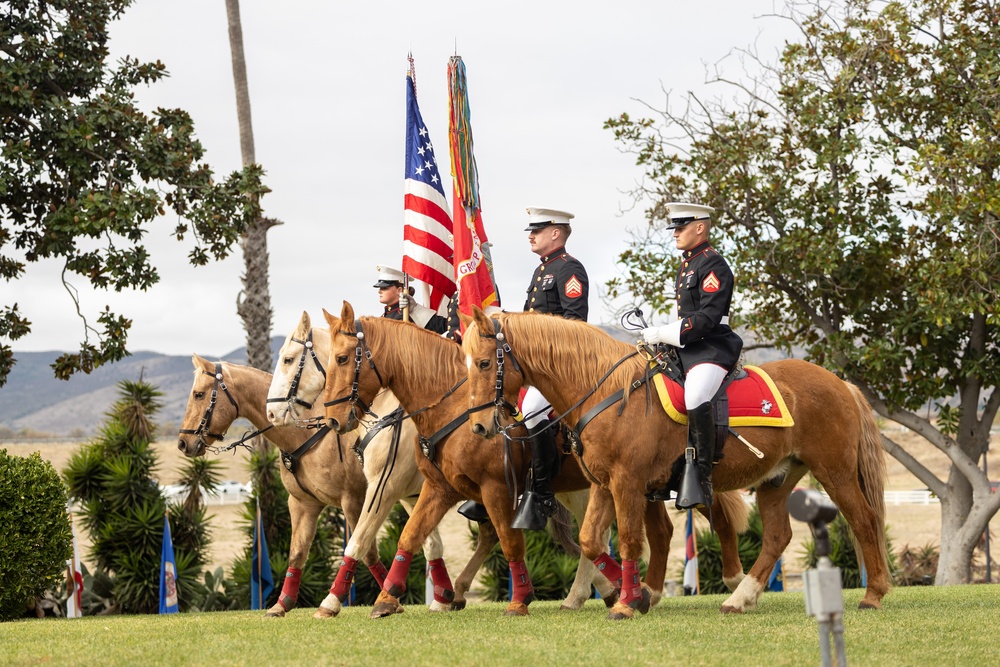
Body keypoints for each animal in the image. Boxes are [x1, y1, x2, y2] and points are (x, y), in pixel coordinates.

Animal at [176, 354, 450, 620]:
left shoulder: (355, 501)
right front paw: (281, 604)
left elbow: (366, 550)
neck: (307, 435)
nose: (183, 442)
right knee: (429, 540)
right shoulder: (302, 504)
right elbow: (297, 552)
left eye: (198, 394)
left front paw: (387, 600)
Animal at [266, 310, 620, 612]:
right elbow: (417, 537)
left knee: (596, 536)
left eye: (288, 359)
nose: (271, 412)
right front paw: (411, 597)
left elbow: (361, 540)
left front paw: (333, 602)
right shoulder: (428, 489)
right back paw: (590, 593)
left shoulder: (389, 488)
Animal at [320, 304, 752, 620]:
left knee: (709, 513)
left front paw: (520, 597)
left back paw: (729, 583)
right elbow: (411, 536)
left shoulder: (490, 488)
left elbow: (509, 540)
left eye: (341, 358)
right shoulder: (438, 488)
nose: (334, 420)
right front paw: (388, 598)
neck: (452, 406)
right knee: (646, 532)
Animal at [460, 310, 892, 620]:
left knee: (863, 520)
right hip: (778, 479)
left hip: (834, 473)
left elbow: (630, 539)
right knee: (777, 536)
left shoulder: (627, 482)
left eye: (482, 363)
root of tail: (841, 383)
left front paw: (626, 601)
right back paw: (740, 597)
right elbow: (590, 540)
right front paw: (631, 593)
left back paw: (873, 594)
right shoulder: (604, 484)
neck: (606, 391)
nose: (479, 427)